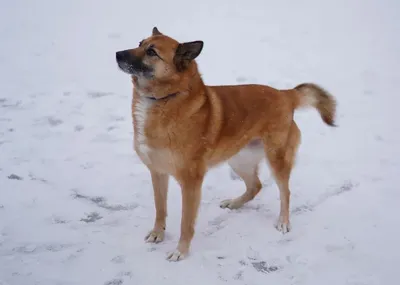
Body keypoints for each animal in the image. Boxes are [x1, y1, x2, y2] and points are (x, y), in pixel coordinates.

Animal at [115, 27, 338, 260]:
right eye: (140, 43)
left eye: (151, 52)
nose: (117, 54)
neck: (164, 98)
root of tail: (285, 94)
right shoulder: (157, 172)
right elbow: (160, 208)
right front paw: (158, 233)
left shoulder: (191, 182)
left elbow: (186, 222)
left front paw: (181, 251)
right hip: (239, 160)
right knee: (255, 185)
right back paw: (235, 203)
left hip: (276, 159)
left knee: (285, 192)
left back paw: (283, 221)